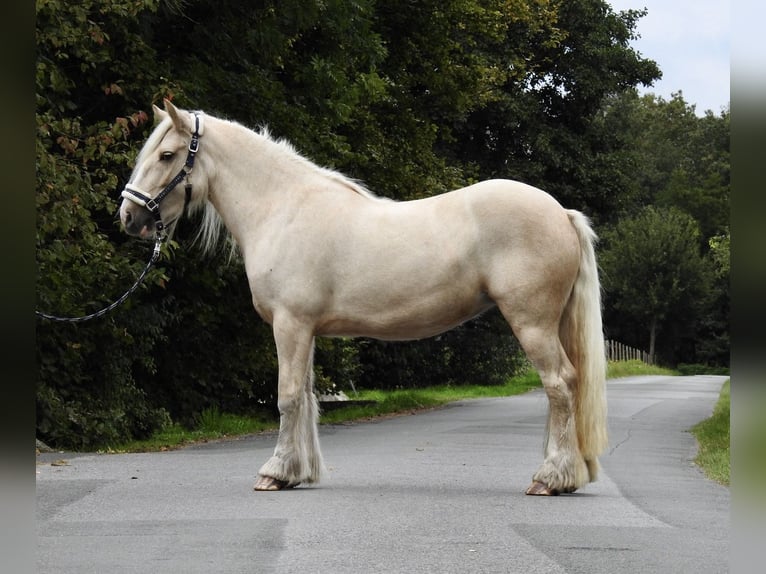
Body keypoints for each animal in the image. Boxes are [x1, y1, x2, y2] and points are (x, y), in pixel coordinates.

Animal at [120, 101, 608, 498]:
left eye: (167, 155)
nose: (128, 216)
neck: (283, 208)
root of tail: (561, 212)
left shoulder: (290, 324)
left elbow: (287, 396)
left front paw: (275, 473)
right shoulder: (306, 330)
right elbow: (307, 396)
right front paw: (298, 472)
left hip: (532, 323)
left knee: (560, 385)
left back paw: (550, 478)